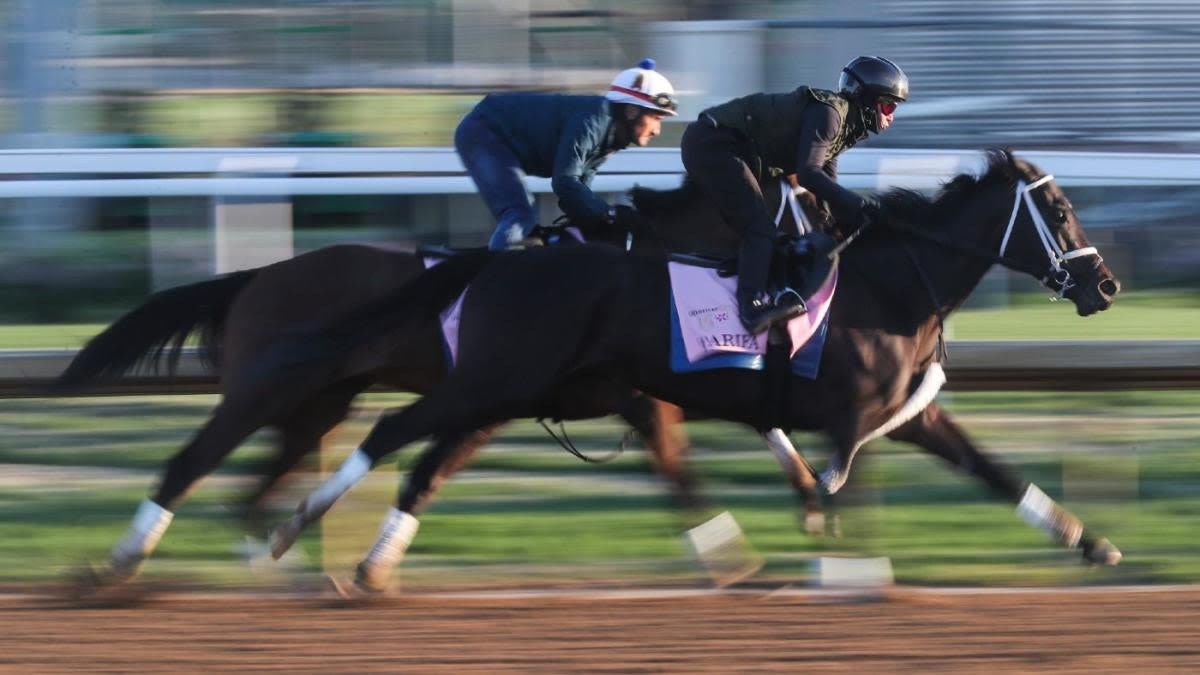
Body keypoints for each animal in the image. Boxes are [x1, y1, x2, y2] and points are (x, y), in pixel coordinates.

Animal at [58, 172, 825, 583]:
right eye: (812, 204)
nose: (817, 266)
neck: (635, 260)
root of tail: (256, 276)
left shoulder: (502, 402)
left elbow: (428, 473)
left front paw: (808, 495)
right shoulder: (626, 391)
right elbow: (681, 462)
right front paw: (736, 555)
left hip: (317, 406)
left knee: (252, 487)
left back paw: (277, 567)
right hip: (263, 391)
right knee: (191, 462)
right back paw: (124, 560)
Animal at [270, 148, 1123, 588]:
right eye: (1060, 211)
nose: (1106, 285)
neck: (893, 280)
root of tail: (508, 255)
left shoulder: (912, 413)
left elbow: (991, 468)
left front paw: (1089, 540)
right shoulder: (850, 410)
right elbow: (833, 470)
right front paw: (822, 528)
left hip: (511, 385)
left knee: (429, 453)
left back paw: (362, 558)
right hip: (498, 377)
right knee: (393, 428)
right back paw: (287, 529)